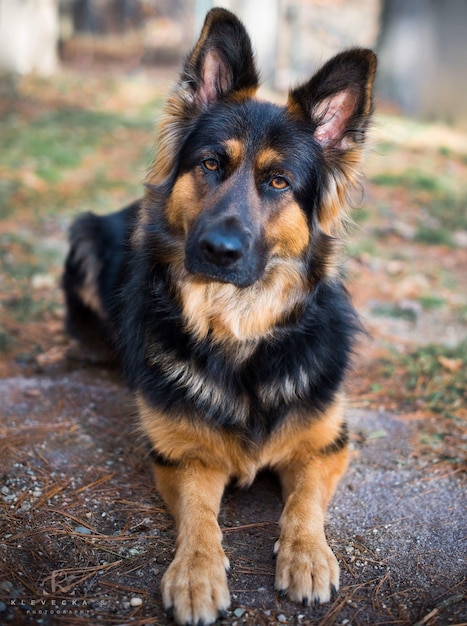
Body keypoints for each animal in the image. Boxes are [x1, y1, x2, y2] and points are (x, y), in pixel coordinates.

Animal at [63, 7, 376, 620]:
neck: (238, 327)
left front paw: (307, 554)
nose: (218, 250)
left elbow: (305, 502)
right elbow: (198, 518)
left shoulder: (327, 442)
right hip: (84, 237)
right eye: (211, 164)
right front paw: (195, 574)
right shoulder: (181, 456)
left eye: (278, 182)